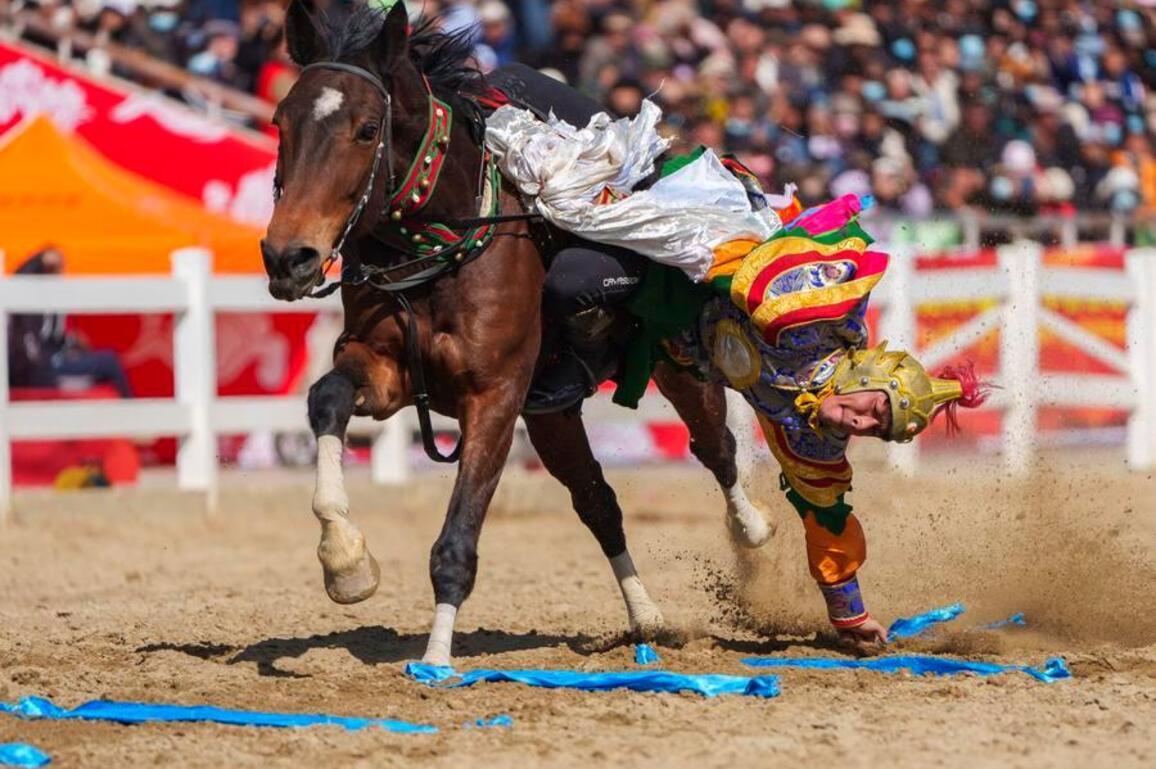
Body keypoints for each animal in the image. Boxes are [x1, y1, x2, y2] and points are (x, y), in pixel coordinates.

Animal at [260, 0, 772, 667]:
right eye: (280, 122)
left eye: (368, 129)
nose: (287, 257)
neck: (445, 247)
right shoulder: (384, 370)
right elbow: (327, 399)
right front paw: (345, 561)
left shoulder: (494, 400)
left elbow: (457, 539)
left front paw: (436, 657)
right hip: (550, 417)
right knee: (599, 503)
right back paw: (647, 619)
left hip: (675, 367)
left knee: (717, 449)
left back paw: (753, 528)